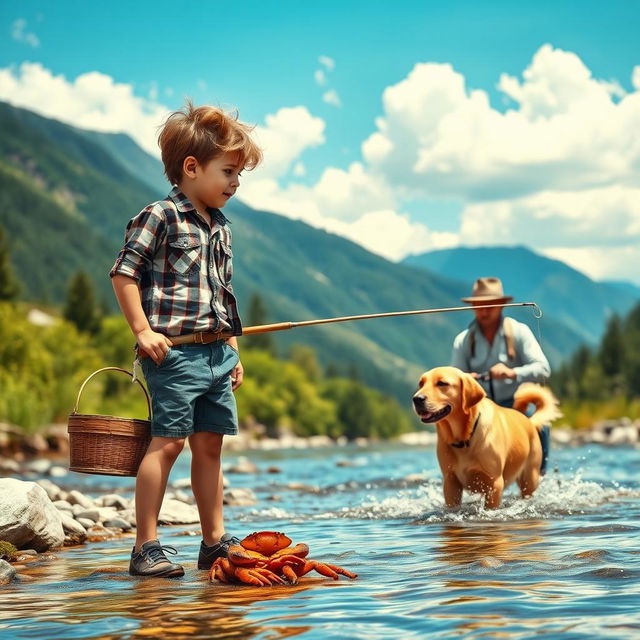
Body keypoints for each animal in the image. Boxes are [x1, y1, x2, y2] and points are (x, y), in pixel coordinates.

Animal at [412, 364, 556, 510]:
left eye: (442, 383)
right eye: (421, 383)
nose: (416, 399)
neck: (464, 439)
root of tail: (529, 421)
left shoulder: (495, 483)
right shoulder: (450, 481)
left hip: (530, 477)